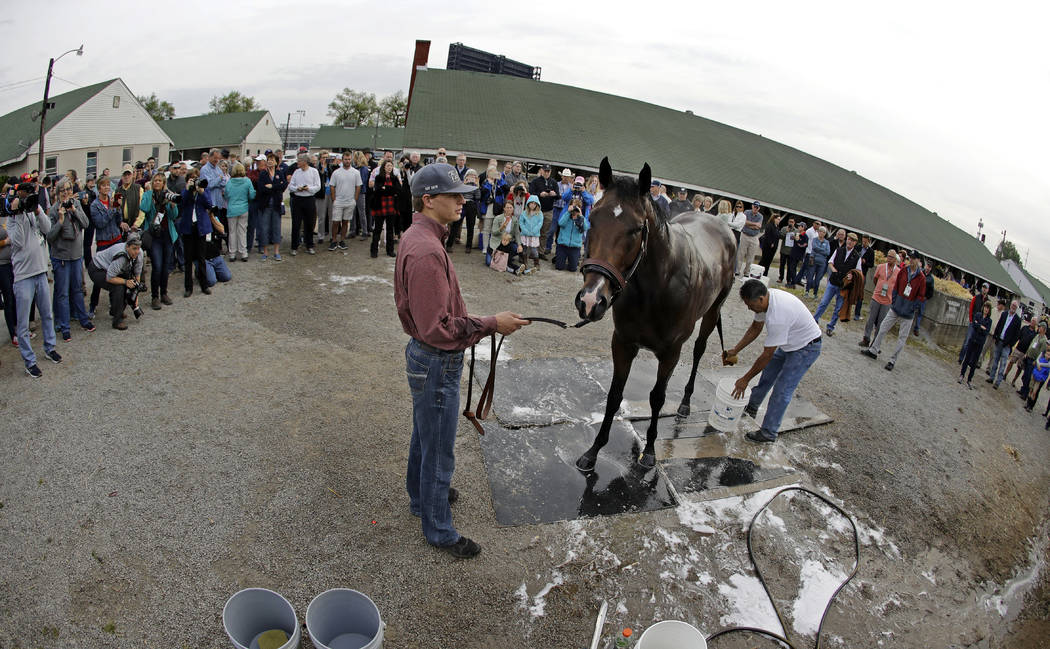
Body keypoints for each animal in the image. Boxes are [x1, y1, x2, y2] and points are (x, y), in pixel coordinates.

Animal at [571, 156, 734, 470]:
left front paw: (649, 451)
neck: (657, 286)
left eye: (636, 228)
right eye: (593, 218)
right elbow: (614, 395)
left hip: (712, 312)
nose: (591, 300)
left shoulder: (671, 352)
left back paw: (685, 403)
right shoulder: (623, 343)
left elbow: (657, 397)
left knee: (699, 350)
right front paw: (594, 450)